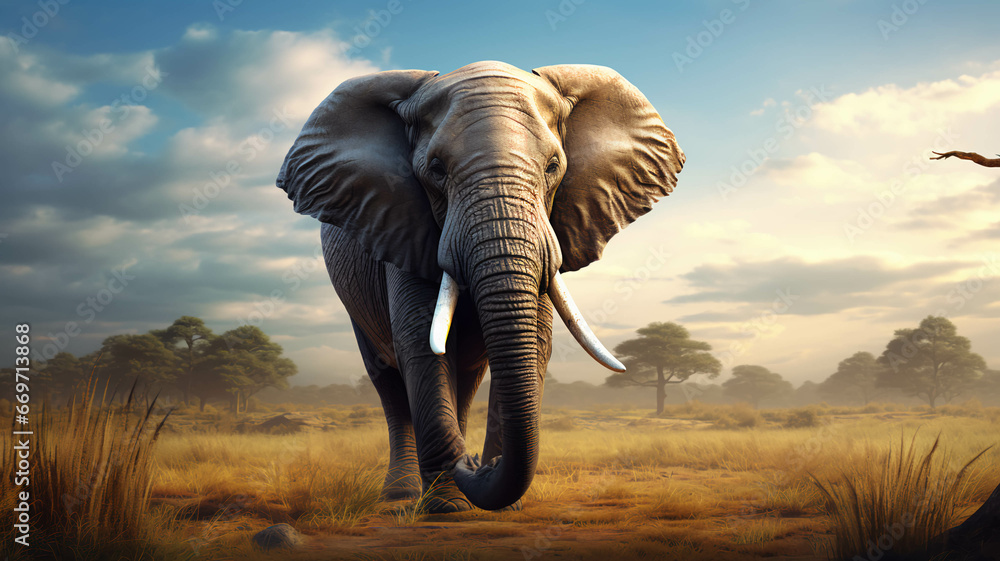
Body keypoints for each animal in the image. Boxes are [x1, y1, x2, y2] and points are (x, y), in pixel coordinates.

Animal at [275, 60, 684, 513]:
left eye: (553, 166)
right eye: (436, 169)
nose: (474, 463)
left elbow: (534, 339)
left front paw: (497, 502)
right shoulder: (402, 226)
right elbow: (420, 341)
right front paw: (448, 510)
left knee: (467, 379)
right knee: (389, 383)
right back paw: (402, 496)